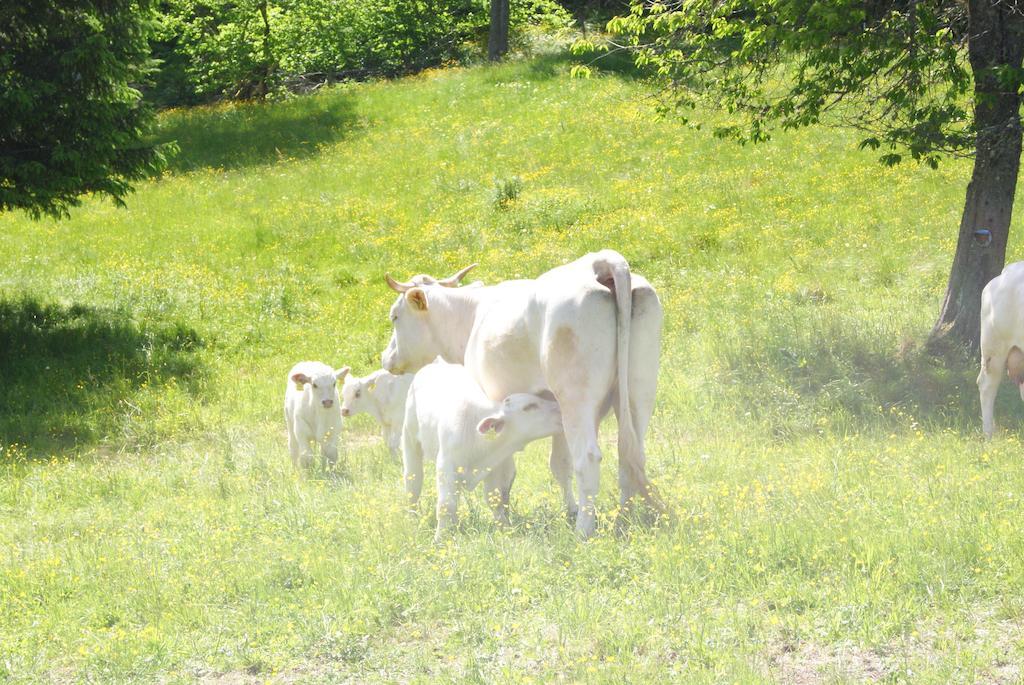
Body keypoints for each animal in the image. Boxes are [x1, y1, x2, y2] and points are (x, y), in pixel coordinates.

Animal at [401, 358, 565, 540]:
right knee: (413, 481)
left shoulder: (494, 466)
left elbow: (495, 499)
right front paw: (440, 538)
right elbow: (446, 505)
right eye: (529, 406)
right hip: (409, 437)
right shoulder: (445, 465)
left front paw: (505, 530)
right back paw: (412, 517)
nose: (560, 409)